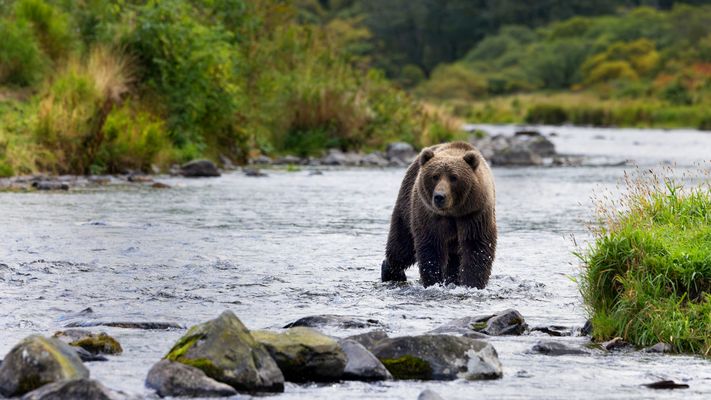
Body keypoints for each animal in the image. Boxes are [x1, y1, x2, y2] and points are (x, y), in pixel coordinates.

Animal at [381, 141, 497, 288]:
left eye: (454, 177)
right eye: (435, 176)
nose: (439, 196)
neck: (453, 212)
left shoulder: (474, 214)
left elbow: (476, 246)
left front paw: (471, 283)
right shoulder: (429, 214)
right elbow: (431, 247)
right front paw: (434, 281)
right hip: (407, 204)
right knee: (402, 246)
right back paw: (391, 272)